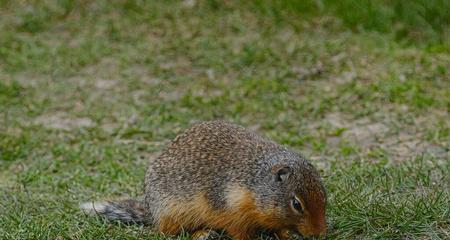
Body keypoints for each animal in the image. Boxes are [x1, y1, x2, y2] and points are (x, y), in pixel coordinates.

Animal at [81, 121, 326, 239]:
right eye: (297, 204)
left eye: (324, 196)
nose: (319, 233)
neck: (257, 183)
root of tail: (151, 211)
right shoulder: (232, 208)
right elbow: (239, 232)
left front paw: (286, 235)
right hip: (174, 213)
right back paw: (202, 233)